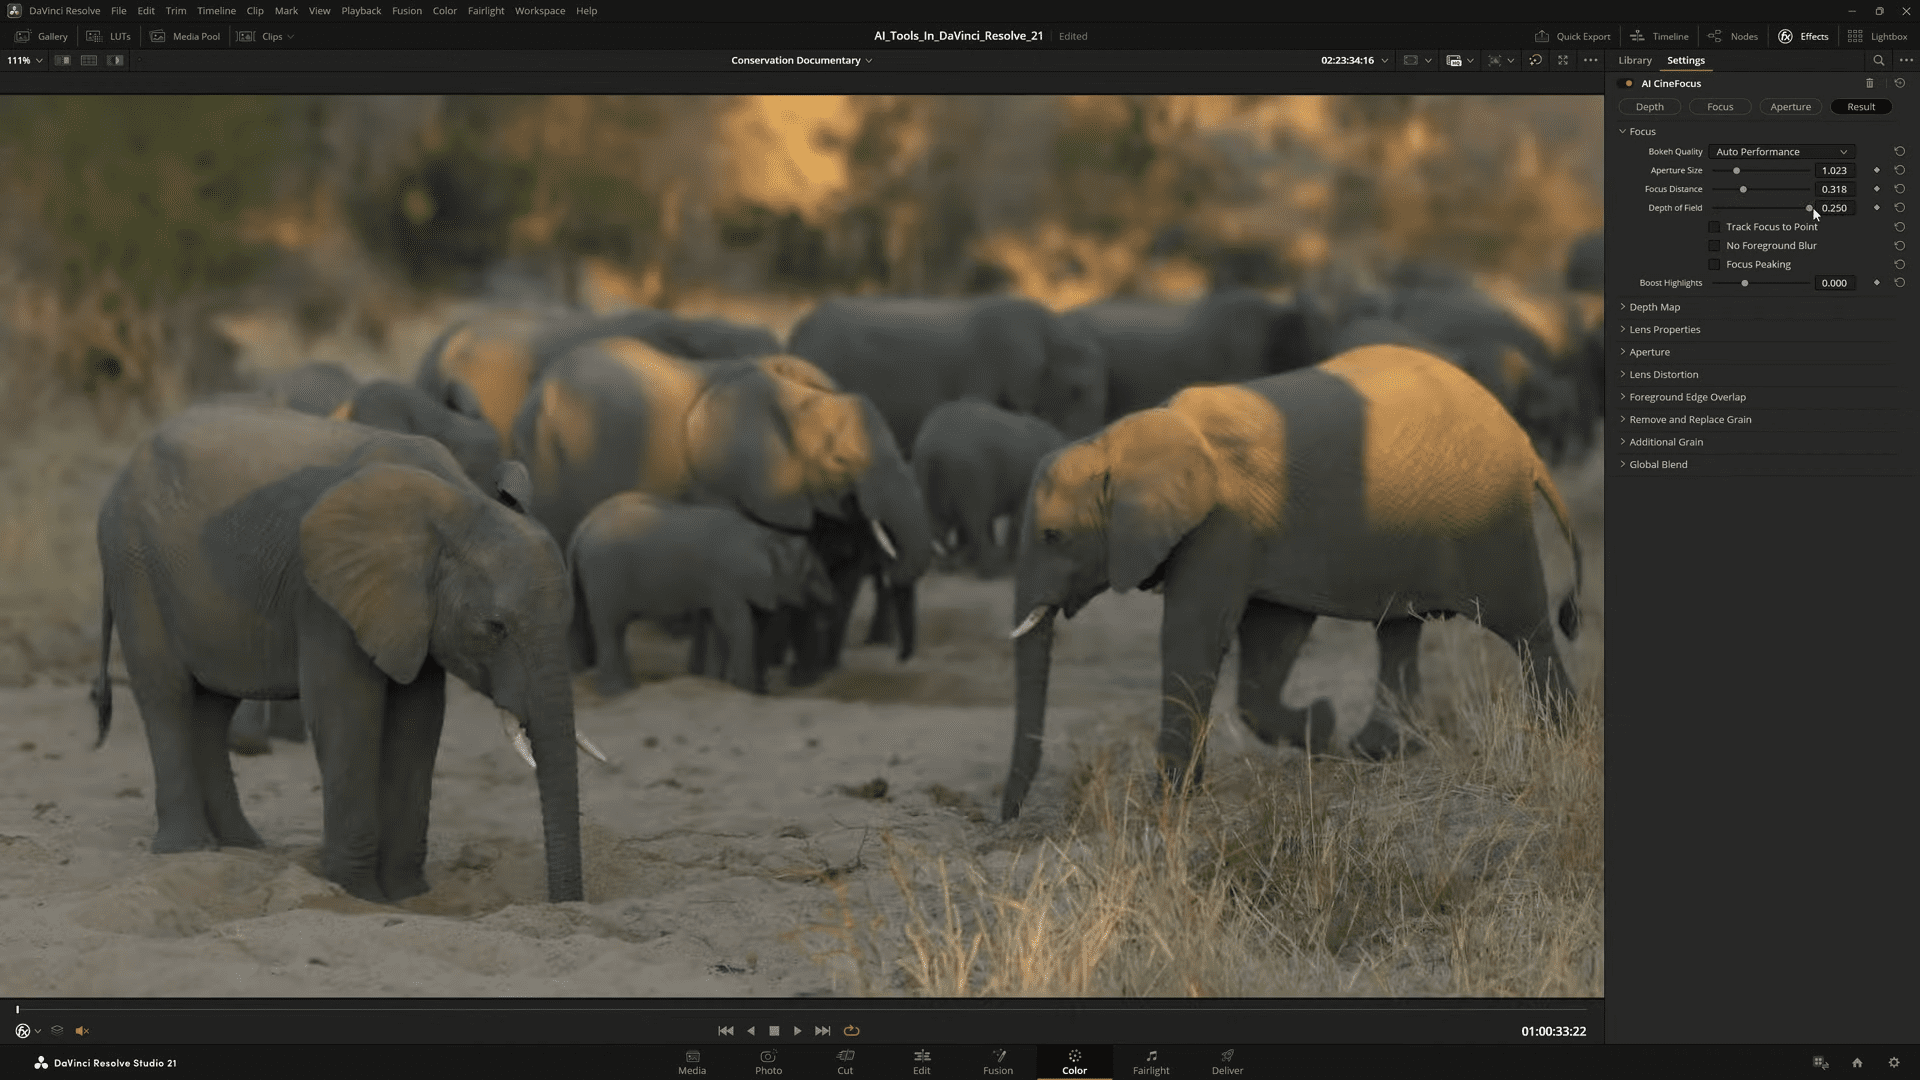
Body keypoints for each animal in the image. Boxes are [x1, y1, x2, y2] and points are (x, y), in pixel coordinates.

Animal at [91, 402, 586, 903]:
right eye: (495, 628)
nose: (562, 903)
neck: (459, 502)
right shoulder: (325, 599)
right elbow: (346, 710)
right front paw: (356, 893)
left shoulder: (413, 613)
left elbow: (420, 719)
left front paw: (407, 894)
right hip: (134, 563)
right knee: (167, 693)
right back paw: (188, 849)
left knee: (213, 707)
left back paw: (241, 846)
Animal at [568, 492, 837, 696]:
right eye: (811, 574)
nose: (828, 605)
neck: (765, 535)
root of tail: (581, 528)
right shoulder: (727, 581)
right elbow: (736, 625)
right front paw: (748, 692)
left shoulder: (714, 586)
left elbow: (715, 625)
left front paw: (715, 685)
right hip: (604, 577)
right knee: (609, 628)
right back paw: (616, 694)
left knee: (617, 629)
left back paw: (629, 690)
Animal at [912, 398, 1066, 578]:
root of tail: (932, 452)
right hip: (972, 478)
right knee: (973, 523)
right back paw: (989, 570)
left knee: (938, 526)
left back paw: (953, 563)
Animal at [1000, 344, 1585, 821]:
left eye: (1053, 535)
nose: (1006, 819)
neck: (1117, 441)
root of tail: (1523, 442)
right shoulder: (1257, 531)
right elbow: (1269, 641)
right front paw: (1321, 728)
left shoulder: (1222, 525)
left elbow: (1194, 637)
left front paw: (1170, 801)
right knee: (1398, 629)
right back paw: (1379, 750)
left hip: (1492, 521)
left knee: (1523, 626)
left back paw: (1562, 735)